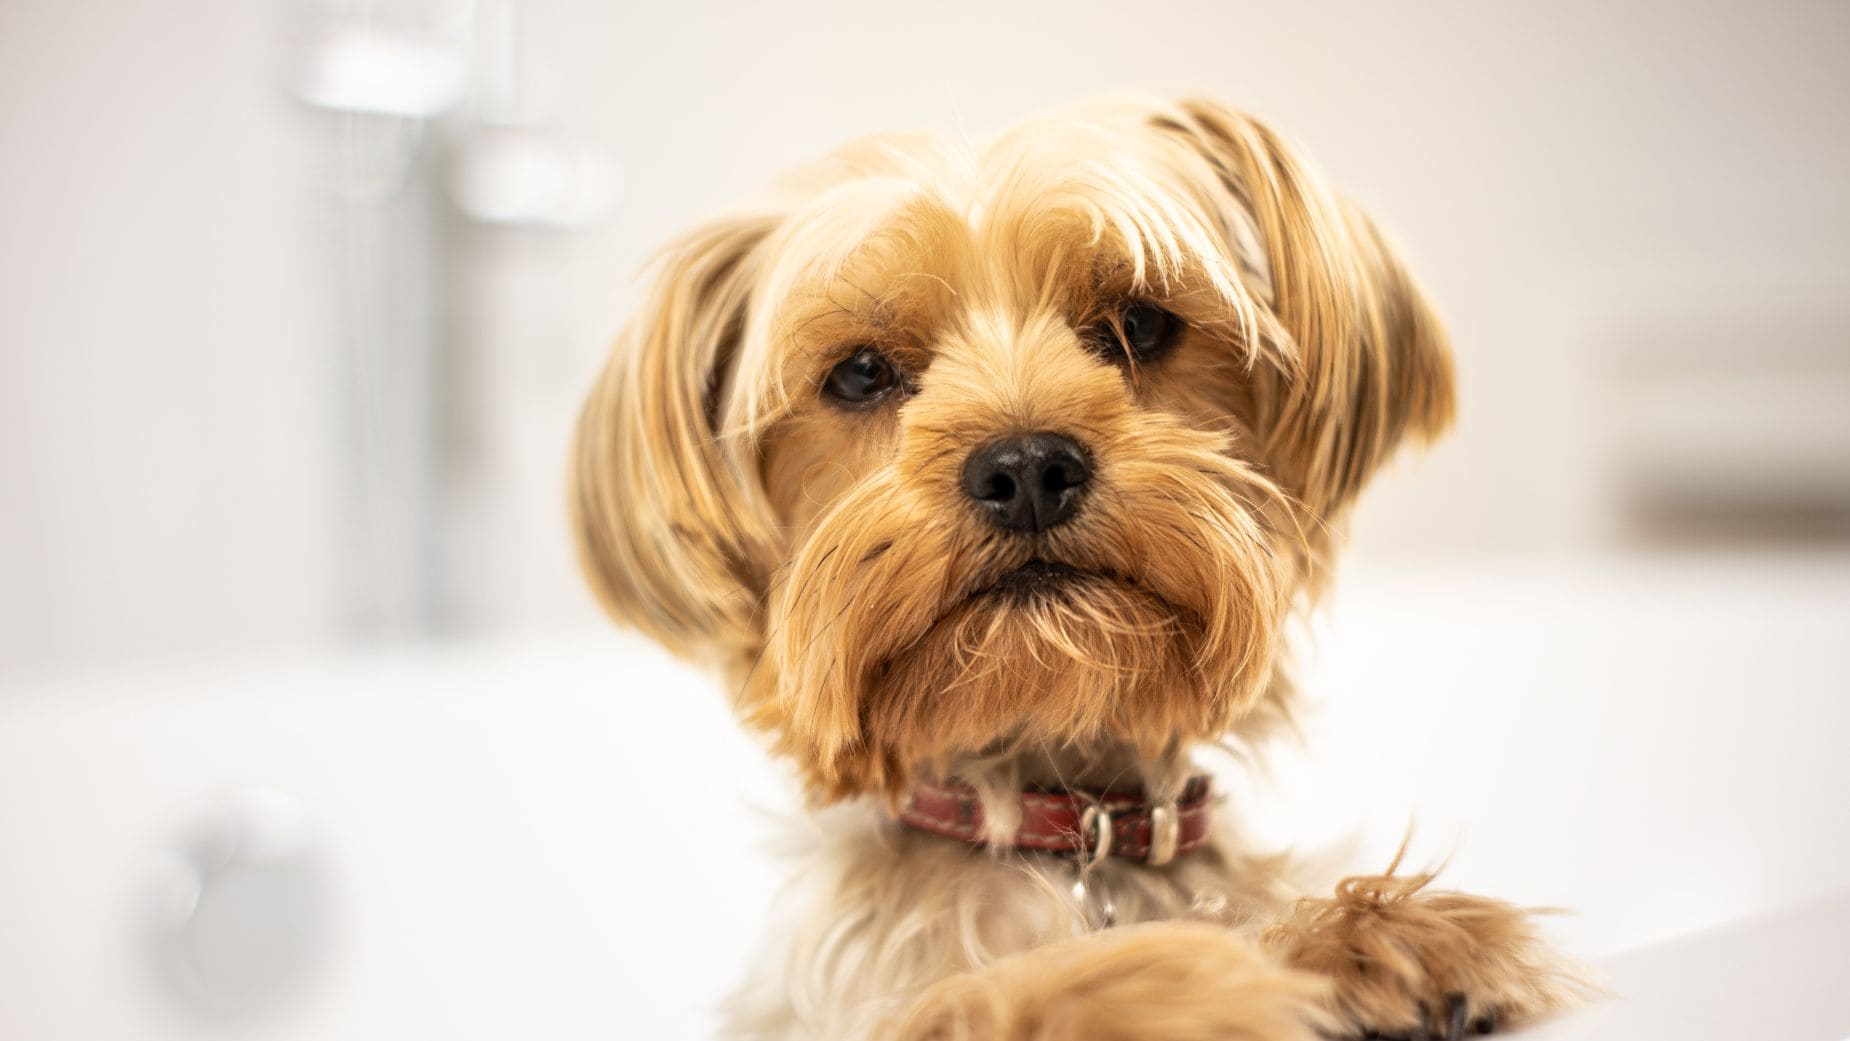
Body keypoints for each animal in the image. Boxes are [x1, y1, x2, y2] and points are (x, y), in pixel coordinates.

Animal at [569, 93, 1583, 1035]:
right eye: (859, 372)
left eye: (1140, 322)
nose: (1025, 468)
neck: (1062, 824)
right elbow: (1005, 995)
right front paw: (1201, 977)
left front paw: (1374, 937)